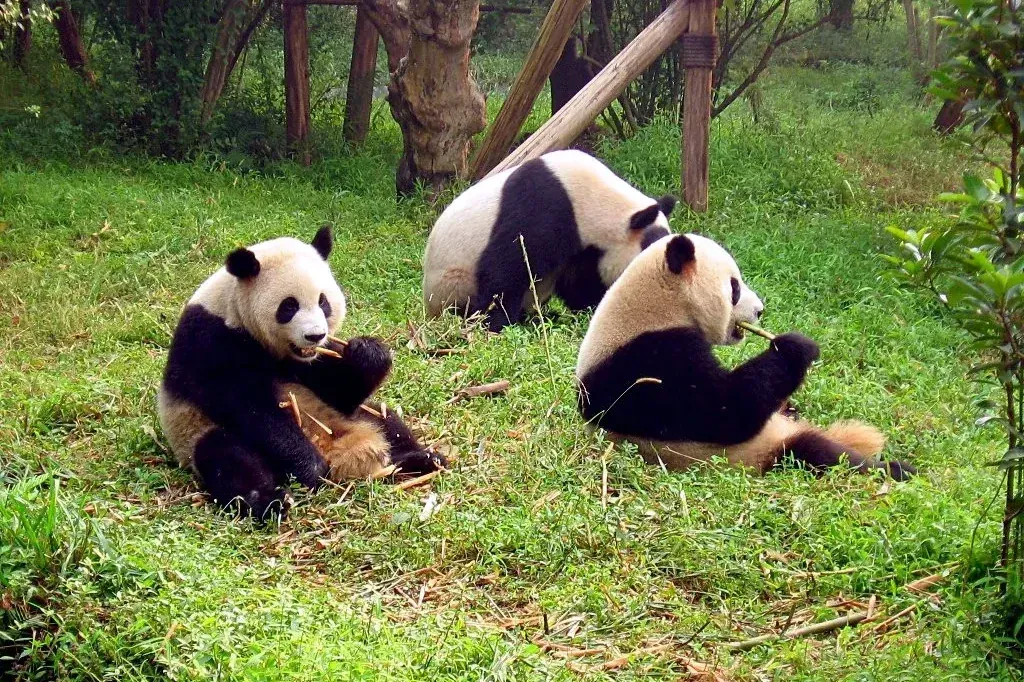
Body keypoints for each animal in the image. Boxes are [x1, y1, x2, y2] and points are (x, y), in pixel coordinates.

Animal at [158, 226, 445, 519]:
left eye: (323, 302)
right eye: (289, 306)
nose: (315, 335)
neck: (233, 309)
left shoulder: (311, 360)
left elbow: (340, 391)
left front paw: (368, 353)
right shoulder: (210, 341)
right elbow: (250, 408)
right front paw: (309, 465)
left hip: (350, 416)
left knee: (385, 420)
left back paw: (421, 458)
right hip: (196, 431)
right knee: (229, 458)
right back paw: (270, 500)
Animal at [422, 149, 676, 332]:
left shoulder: (584, 248)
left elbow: (579, 280)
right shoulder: (543, 207)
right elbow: (506, 267)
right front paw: (495, 322)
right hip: (452, 282)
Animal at [575, 233, 916, 480]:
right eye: (734, 287)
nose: (760, 310)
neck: (656, 305)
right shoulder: (648, 360)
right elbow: (724, 410)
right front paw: (794, 347)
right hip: (765, 450)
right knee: (819, 453)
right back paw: (895, 469)